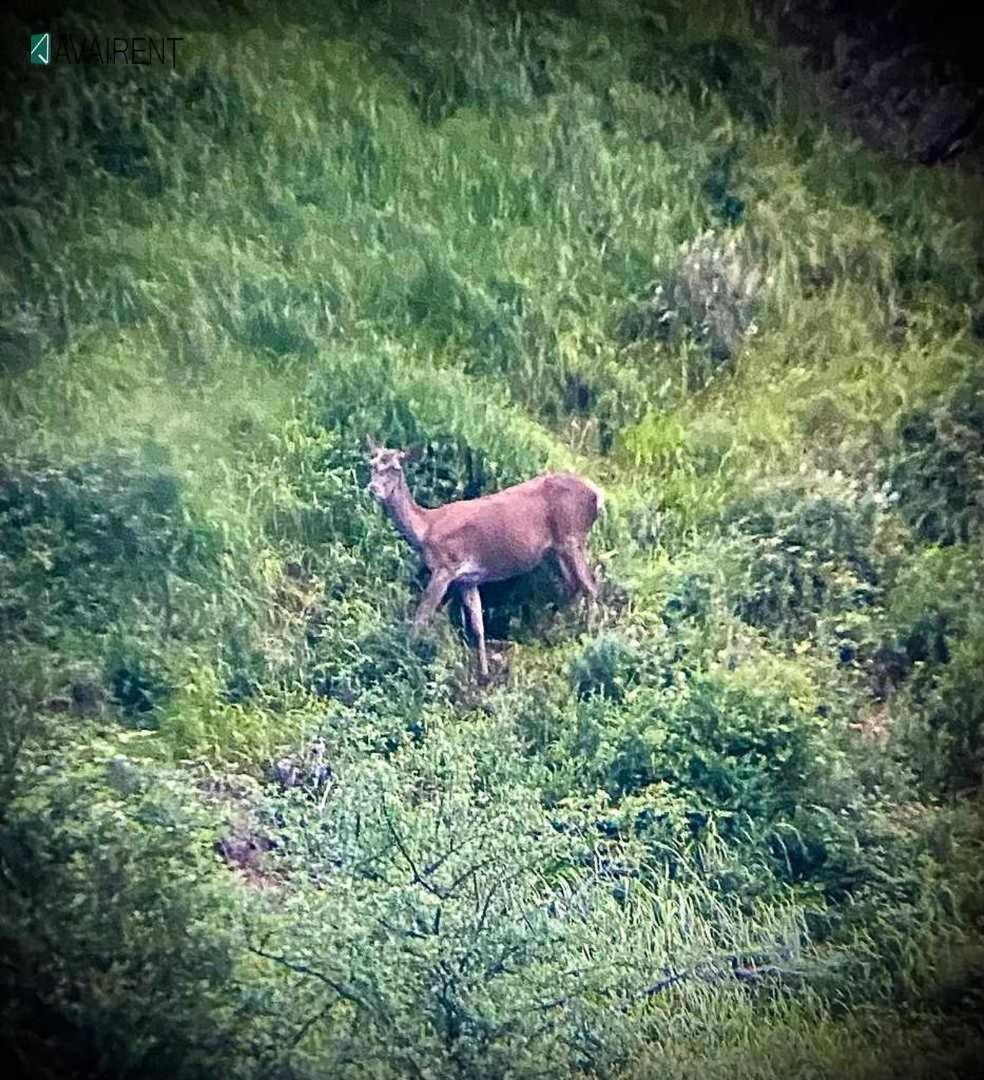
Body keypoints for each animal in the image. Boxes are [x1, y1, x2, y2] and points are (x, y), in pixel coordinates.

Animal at [365, 434, 604, 678]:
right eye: (371, 464)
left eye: (395, 468)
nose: (373, 488)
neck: (426, 529)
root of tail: (597, 494)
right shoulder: (468, 579)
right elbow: (478, 626)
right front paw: (484, 672)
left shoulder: (445, 567)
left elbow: (421, 617)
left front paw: (406, 658)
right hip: (555, 552)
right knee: (574, 586)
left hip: (572, 538)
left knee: (590, 586)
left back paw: (589, 636)